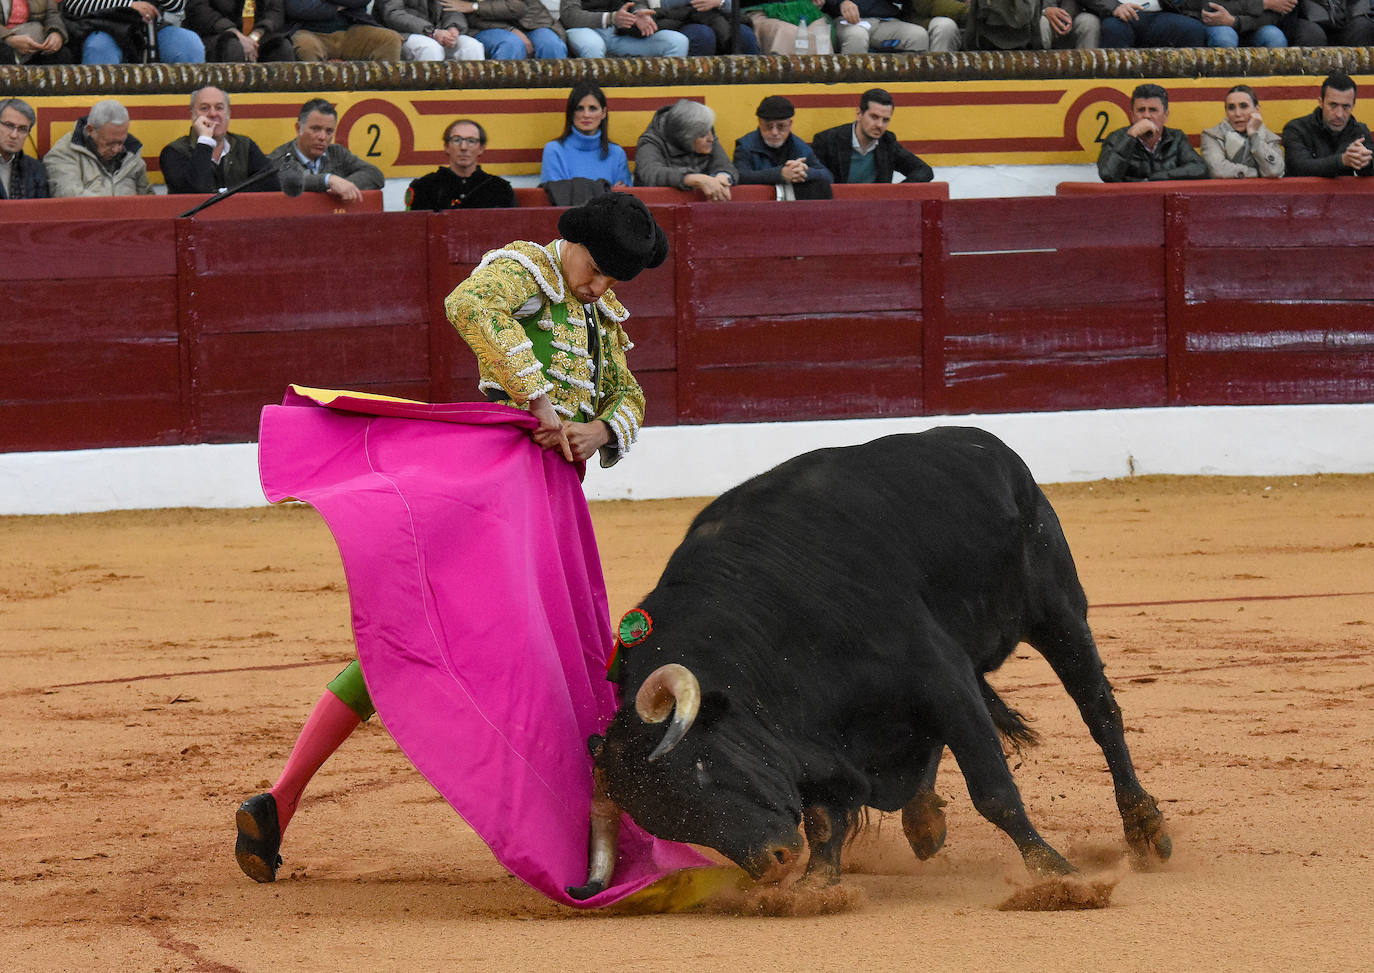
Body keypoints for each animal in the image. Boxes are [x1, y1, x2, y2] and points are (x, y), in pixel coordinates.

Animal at [568, 428, 1170, 901]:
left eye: (702, 766)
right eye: (670, 822)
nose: (772, 864)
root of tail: (986, 446)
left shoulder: (941, 678)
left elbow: (994, 792)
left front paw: (1058, 875)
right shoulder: (821, 732)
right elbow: (824, 815)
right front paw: (816, 886)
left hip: (1059, 613)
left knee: (1101, 714)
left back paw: (1146, 830)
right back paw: (924, 820)